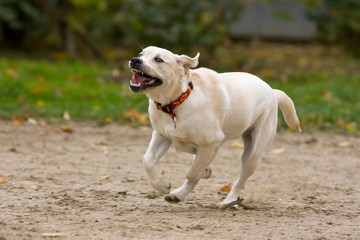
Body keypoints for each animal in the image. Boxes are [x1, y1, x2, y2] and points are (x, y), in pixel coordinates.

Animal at [128, 46, 300, 207]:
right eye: (141, 54)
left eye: (158, 60)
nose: (135, 60)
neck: (176, 105)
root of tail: (273, 92)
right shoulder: (162, 135)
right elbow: (147, 160)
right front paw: (162, 184)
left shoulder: (211, 144)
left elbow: (192, 172)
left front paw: (203, 173)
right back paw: (177, 195)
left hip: (253, 152)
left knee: (239, 180)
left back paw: (227, 201)